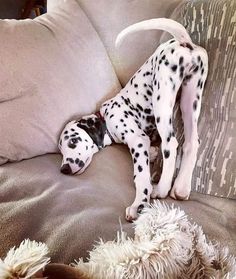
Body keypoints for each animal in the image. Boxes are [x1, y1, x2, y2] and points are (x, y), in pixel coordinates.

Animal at [58, 18, 208, 223]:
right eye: (60, 150)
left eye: (72, 142)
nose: (63, 169)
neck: (106, 118)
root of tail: (183, 42)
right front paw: (153, 153)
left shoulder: (138, 141)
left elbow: (141, 176)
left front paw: (139, 204)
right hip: (190, 97)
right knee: (192, 142)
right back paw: (181, 187)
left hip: (162, 99)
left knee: (171, 144)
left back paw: (162, 188)